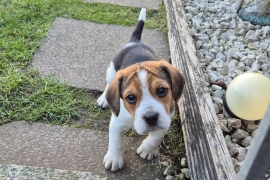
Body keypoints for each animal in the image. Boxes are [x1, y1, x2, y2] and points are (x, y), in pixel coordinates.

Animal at [97, 8, 186, 172]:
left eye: (162, 91)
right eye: (130, 98)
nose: (151, 117)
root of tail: (134, 41)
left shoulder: (166, 117)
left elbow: (156, 137)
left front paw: (147, 149)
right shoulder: (116, 122)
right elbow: (116, 142)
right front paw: (114, 159)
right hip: (112, 71)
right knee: (108, 84)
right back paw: (103, 99)